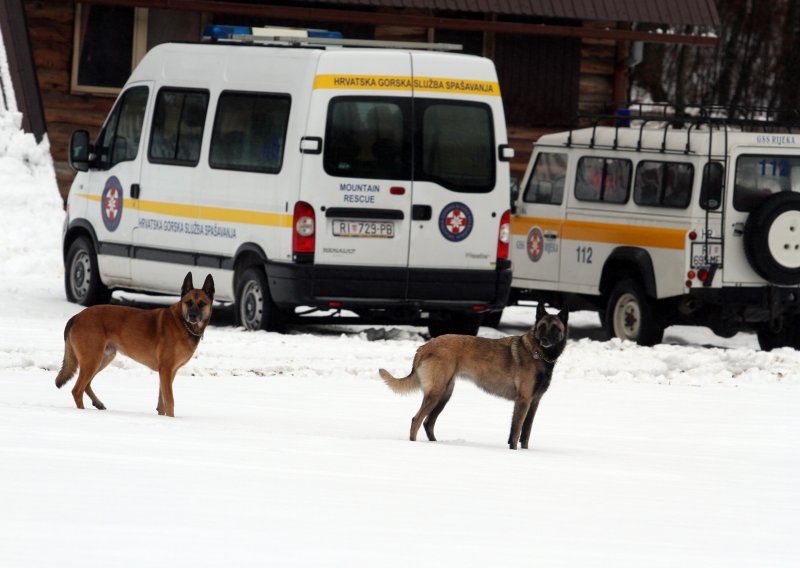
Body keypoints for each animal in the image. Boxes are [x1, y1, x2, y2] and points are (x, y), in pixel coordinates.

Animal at [54, 270, 214, 418]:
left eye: (201, 304)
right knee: (77, 390)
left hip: (103, 358)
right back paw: (82, 413)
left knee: (86, 385)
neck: (183, 323)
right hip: (92, 359)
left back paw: (98, 404)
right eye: (188, 302)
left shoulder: (167, 372)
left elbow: (162, 402)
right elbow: (170, 401)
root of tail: (76, 316)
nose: (192, 316)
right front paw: (171, 419)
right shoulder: (166, 370)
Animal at [378, 304, 564, 450]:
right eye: (542, 327)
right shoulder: (523, 400)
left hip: (444, 395)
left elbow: (525, 433)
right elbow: (516, 432)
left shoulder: (534, 402)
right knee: (417, 420)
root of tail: (425, 346)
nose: (545, 340)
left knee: (428, 422)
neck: (537, 353)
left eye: (555, 328)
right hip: (436, 394)